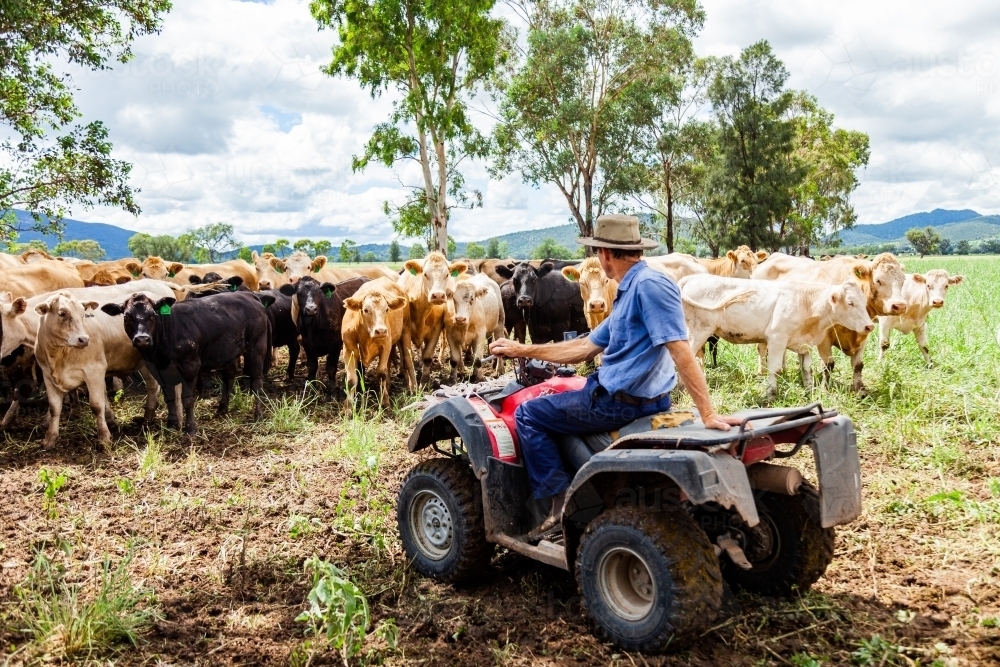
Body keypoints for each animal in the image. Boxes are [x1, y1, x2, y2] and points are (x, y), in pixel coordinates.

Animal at [101, 292, 270, 434]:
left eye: (152, 315)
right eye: (127, 316)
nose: (142, 338)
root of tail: (248, 295)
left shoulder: (190, 367)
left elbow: (187, 399)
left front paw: (190, 429)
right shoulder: (159, 370)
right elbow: (169, 398)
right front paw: (171, 425)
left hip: (256, 347)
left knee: (257, 381)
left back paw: (258, 415)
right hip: (228, 352)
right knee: (229, 377)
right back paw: (222, 409)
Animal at [338, 278, 412, 412]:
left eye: (386, 309)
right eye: (366, 310)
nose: (381, 331)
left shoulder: (386, 345)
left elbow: (381, 374)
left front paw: (385, 402)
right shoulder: (348, 349)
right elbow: (351, 380)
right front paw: (348, 408)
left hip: (406, 330)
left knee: (408, 360)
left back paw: (412, 388)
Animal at [396, 252, 466, 386]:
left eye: (447, 274)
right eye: (425, 274)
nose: (438, 296)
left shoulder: (436, 330)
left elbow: (427, 356)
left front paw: (424, 381)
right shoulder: (405, 331)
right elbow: (408, 357)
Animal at [680, 272, 876, 400]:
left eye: (864, 301)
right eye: (850, 303)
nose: (870, 326)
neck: (807, 302)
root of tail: (693, 277)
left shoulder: (804, 345)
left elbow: (807, 369)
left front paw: (809, 391)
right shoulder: (777, 338)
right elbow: (774, 368)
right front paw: (771, 395)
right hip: (699, 331)